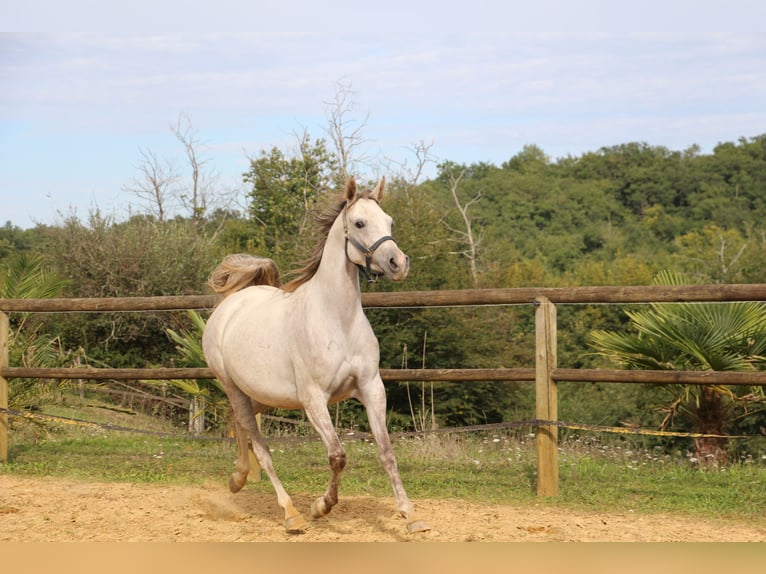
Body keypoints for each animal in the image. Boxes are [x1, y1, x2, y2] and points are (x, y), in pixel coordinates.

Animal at [202, 176, 432, 536]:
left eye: (390, 221)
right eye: (359, 223)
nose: (399, 263)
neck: (338, 319)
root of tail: (230, 304)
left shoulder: (371, 388)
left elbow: (386, 452)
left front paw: (411, 516)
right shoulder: (314, 399)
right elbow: (337, 455)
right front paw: (320, 507)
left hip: (263, 396)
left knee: (240, 424)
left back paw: (237, 479)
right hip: (233, 388)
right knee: (260, 447)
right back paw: (290, 514)